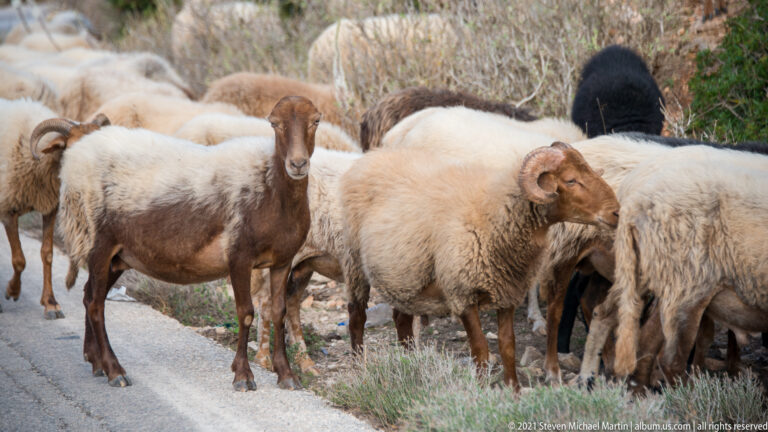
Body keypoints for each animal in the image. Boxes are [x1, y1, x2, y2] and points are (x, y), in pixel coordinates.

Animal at [0, 98, 108, 319]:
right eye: (72, 149)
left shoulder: (49, 209)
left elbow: (47, 254)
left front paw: (50, 304)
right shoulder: (7, 210)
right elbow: (19, 259)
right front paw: (12, 291)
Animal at [340, 141, 619, 389]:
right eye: (571, 180)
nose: (616, 212)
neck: (492, 213)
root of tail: (371, 155)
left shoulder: (507, 292)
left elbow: (508, 346)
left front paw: (513, 390)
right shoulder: (462, 294)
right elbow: (481, 348)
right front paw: (483, 389)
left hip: (404, 273)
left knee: (401, 320)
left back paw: (410, 364)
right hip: (355, 263)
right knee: (357, 317)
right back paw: (358, 367)